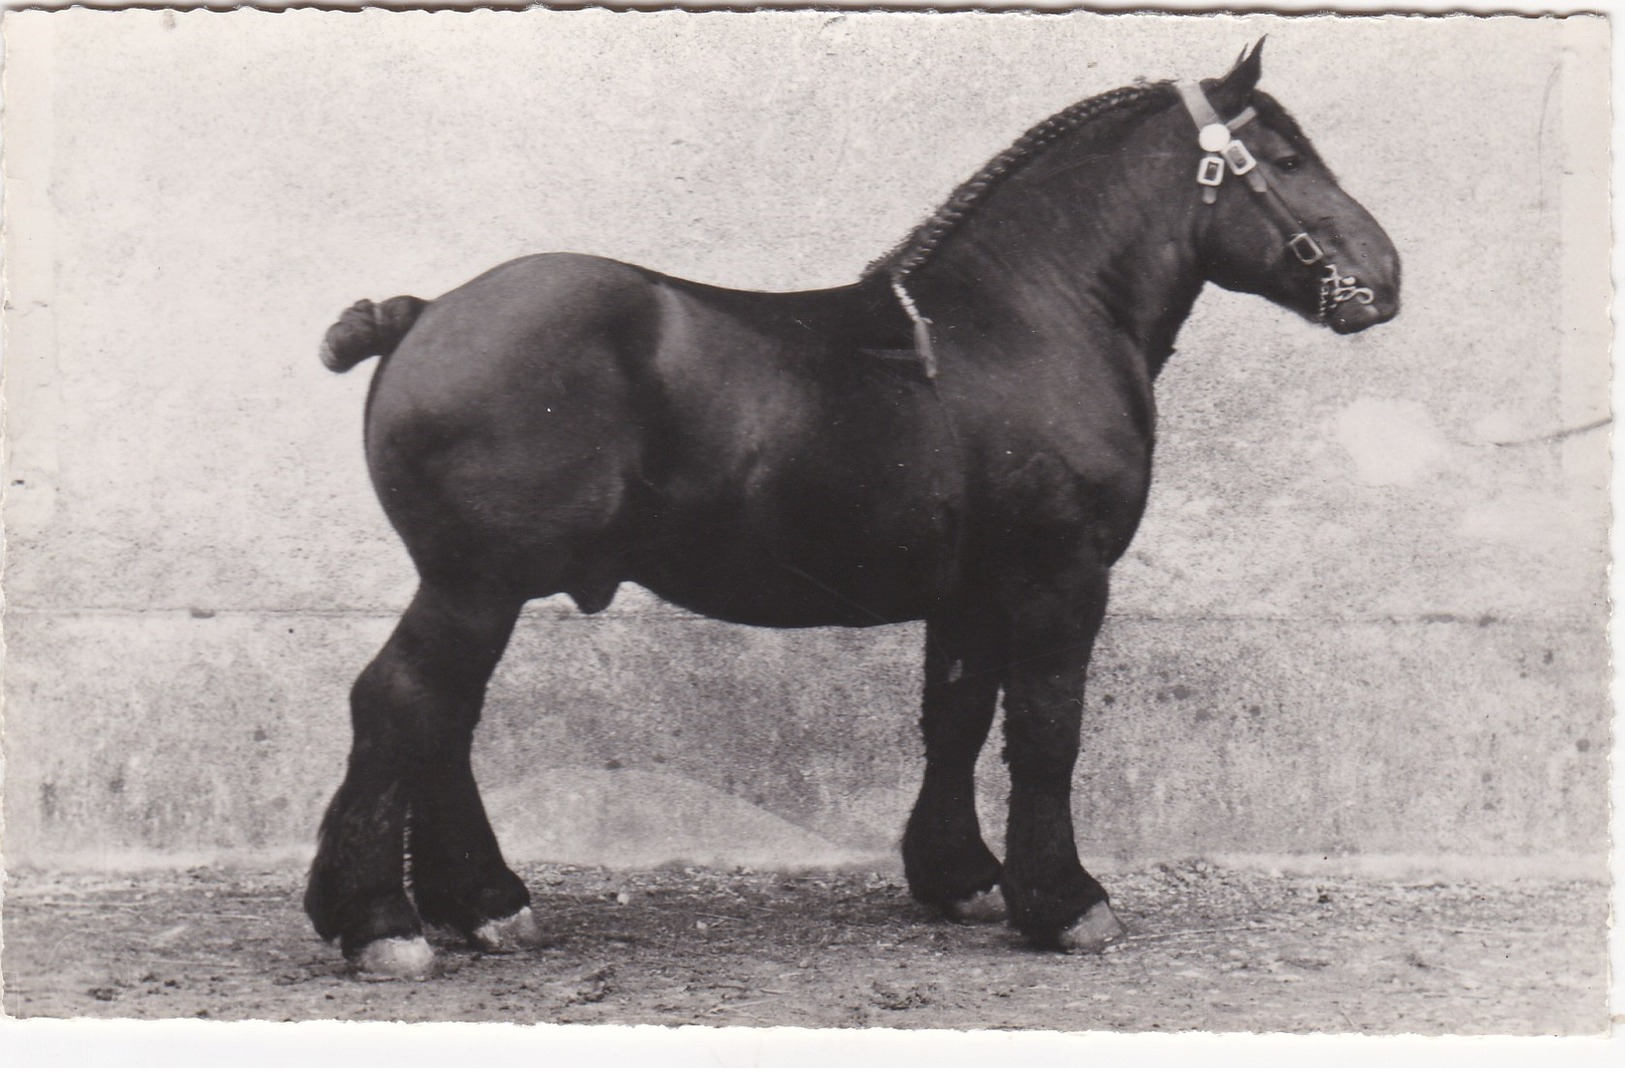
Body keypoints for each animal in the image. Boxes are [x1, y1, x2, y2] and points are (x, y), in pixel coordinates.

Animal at [302, 41, 1397, 981]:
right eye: (1286, 160)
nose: (1382, 280)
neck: (1027, 319)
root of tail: (424, 314)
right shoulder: (1059, 576)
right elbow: (1045, 728)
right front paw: (1064, 903)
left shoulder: (971, 592)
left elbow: (955, 717)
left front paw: (959, 877)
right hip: (475, 584)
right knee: (403, 704)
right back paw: (384, 924)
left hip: (478, 588)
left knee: (443, 721)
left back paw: (485, 904)